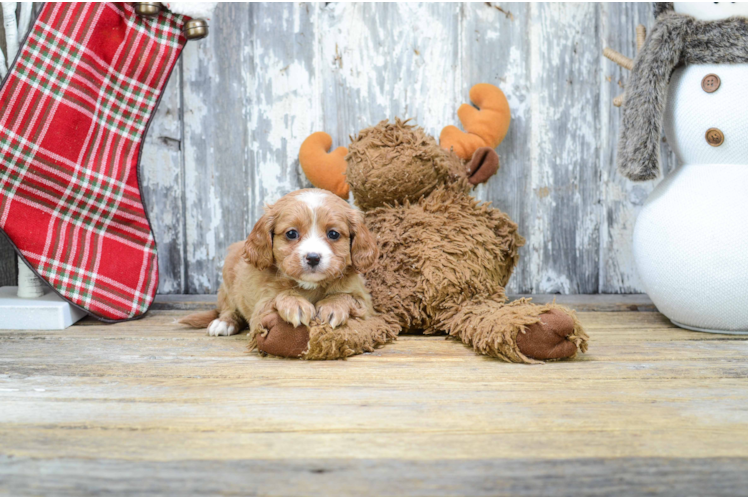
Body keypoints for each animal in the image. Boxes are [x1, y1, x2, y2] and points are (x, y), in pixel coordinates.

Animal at [178, 188, 376, 340]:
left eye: (333, 234)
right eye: (291, 233)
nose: (313, 257)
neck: (309, 286)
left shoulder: (366, 303)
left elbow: (346, 296)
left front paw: (333, 305)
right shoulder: (260, 308)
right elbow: (278, 296)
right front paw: (295, 304)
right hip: (227, 280)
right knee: (229, 308)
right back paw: (224, 322)